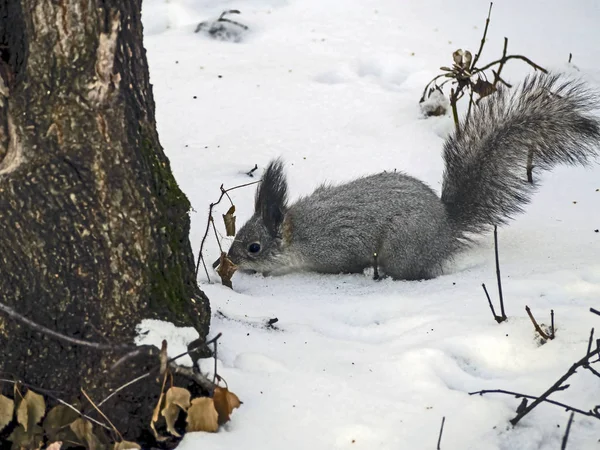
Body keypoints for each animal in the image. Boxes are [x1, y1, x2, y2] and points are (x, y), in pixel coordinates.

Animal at [225, 73, 600, 282]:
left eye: (254, 247)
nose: (228, 260)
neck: (299, 235)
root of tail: (446, 230)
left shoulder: (336, 247)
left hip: (401, 247)